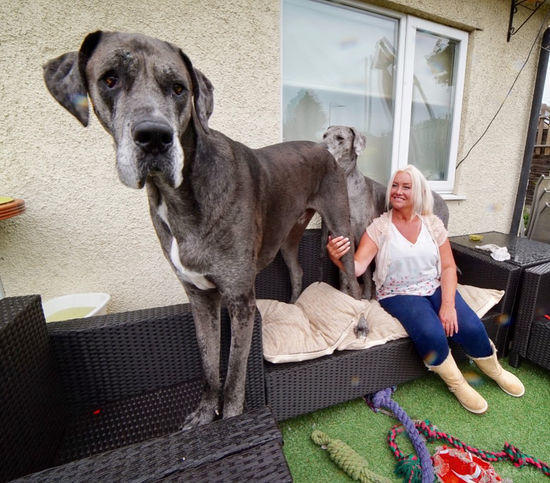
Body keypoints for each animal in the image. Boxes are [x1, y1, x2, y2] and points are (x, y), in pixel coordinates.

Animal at [43, 32, 362, 430]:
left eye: (179, 88)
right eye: (109, 79)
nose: (153, 137)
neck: (181, 196)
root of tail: (326, 150)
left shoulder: (240, 301)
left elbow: (235, 375)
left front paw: (231, 419)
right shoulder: (199, 297)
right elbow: (210, 364)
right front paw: (204, 414)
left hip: (339, 225)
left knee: (352, 280)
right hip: (288, 236)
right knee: (298, 268)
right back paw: (293, 305)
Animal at [324, 125, 448, 298]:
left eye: (340, 138)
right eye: (324, 135)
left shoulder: (362, 234)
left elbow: (366, 273)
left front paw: (365, 297)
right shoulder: (339, 236)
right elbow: (343, 271)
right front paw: (344, 293)